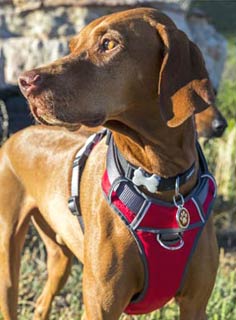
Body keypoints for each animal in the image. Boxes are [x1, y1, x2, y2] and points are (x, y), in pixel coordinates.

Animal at [0, 8, 219, 320]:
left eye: (109, 44)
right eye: (72, 46)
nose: (25, 81)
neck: (161, 178)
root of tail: (17, 135)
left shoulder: (195, 304)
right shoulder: (101, 305)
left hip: (60, 257)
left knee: (43, 301)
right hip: (9, 254)